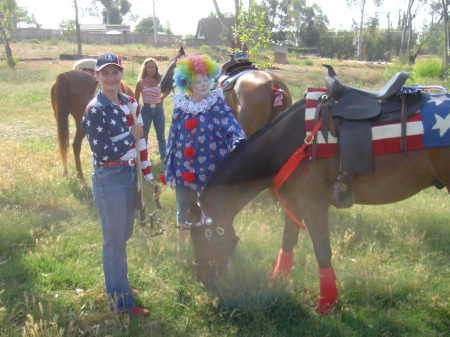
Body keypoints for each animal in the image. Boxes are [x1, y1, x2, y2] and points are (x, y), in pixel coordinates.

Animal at [185, 88, 448, 312]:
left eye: (201, 237)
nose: (202, 279)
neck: (293, 141)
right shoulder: (294, 202)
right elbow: (288, 242)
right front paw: (278, 280)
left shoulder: (313, 203)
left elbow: (322, 251)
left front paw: (327, 303)